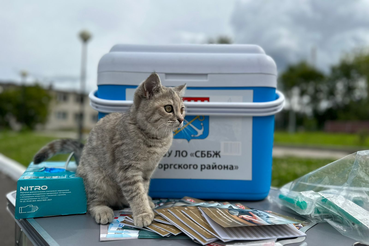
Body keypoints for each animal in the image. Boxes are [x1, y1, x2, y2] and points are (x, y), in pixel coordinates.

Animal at [33, 73, 185, 227]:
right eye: (168, 108)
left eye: (182, 109)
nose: (181, 119)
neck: (154, 139)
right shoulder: (127, 169)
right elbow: (136, 192)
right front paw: (143, 213)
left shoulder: (147, 170)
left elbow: (143, 187)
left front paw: (145, 203)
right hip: (96, 178)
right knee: (92, 202)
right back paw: (102, 210)